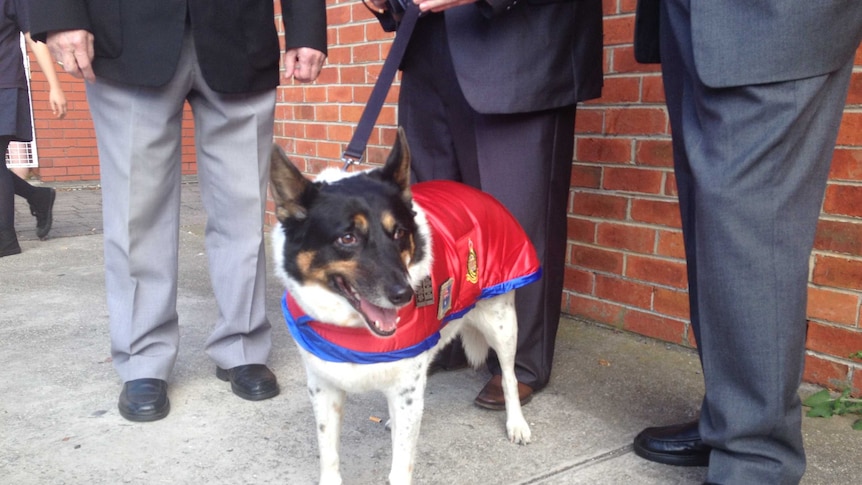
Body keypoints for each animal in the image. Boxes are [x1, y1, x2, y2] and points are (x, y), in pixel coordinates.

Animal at [270, 129, 540, 484]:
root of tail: (477, 192)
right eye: (347, 238)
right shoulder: (323, 386)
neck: (354, 330)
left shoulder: (405, 388)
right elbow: (329, 454)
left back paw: (517, 423)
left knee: (508, 375)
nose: (405, 295)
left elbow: (401, 464)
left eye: (399, 232)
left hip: (502, 322)